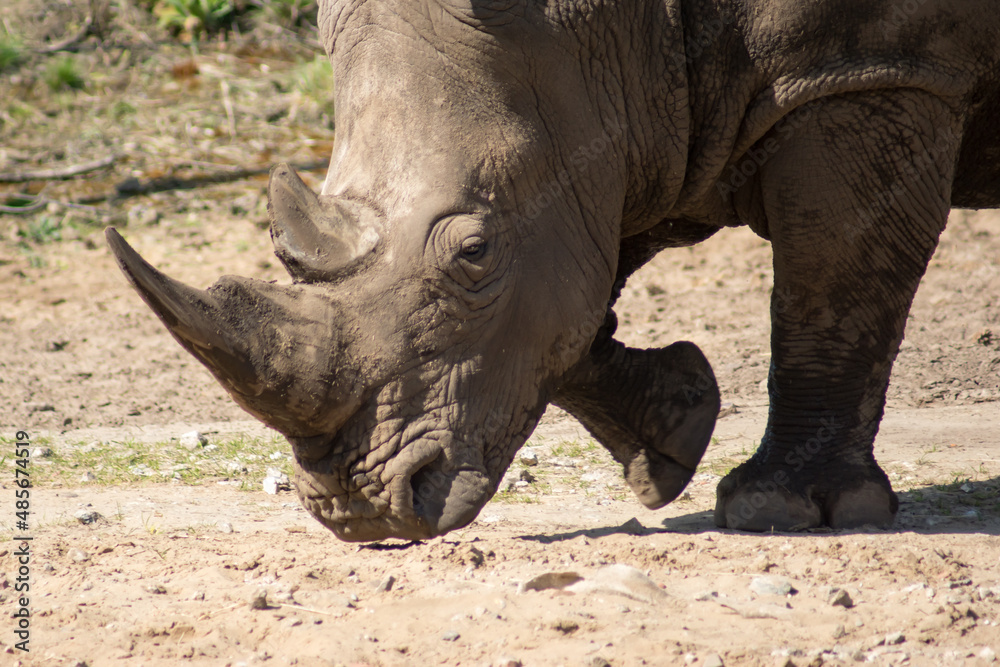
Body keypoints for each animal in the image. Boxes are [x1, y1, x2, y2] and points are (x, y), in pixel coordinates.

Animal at [107, 0, 999, 541]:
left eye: (473, 253)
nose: (359, 510)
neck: (608, 25)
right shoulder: (638, 116)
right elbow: (569, 314)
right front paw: (673, 434)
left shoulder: (872, 65)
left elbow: (832, 285)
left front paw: (782, 509)